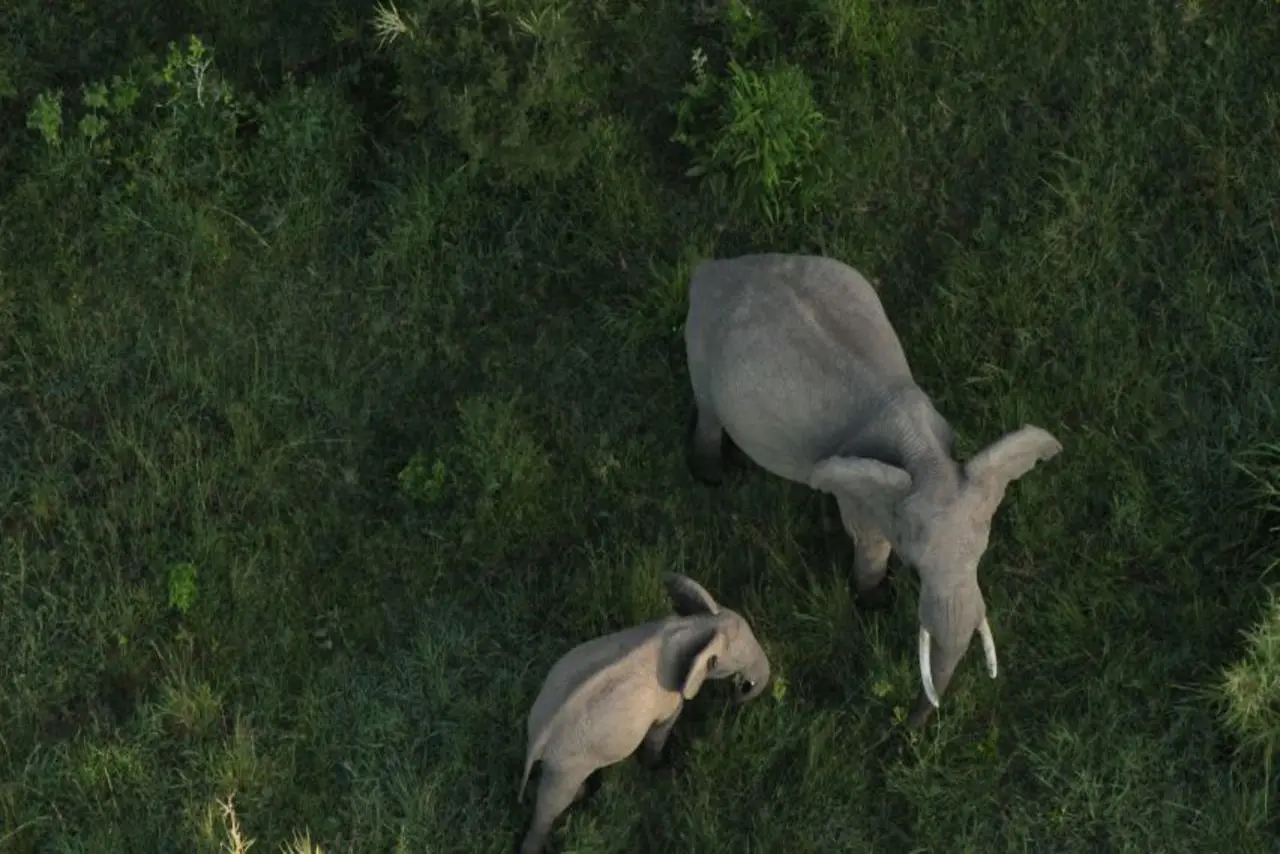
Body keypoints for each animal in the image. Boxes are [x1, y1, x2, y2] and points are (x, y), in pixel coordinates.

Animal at [516, 573, 771, 854]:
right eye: (737, 662)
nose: (739, 692)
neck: (699, 625)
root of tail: (538, 739)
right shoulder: (670, 696)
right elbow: (662, 728)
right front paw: (656, 768)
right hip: (567, 761)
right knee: (552, 802)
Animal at [683, 253, 1061, 728]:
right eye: (916, 569)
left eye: (981, 556)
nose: (911, 729)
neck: (927, 460)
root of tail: (714, 266)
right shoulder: (858, 495)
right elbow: (870, 541)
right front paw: (874, 602)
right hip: (701, 344)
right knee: (708, 411)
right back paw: (710, 477)